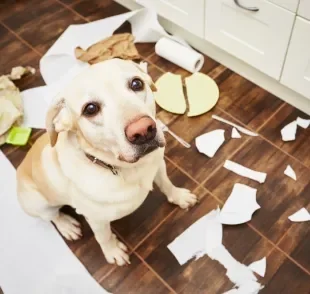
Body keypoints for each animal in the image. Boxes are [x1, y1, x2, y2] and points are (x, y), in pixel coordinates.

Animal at [15, 58, 197, 266]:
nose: (143, 131)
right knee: (52, 216)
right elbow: (104, 237)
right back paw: (67, 225)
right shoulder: (97, 220)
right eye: (90, 109)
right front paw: (113, 252)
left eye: (136, 83)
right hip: (38, 203)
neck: (127, 168)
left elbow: (167, 184)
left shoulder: (159, 165)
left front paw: (179, 196)